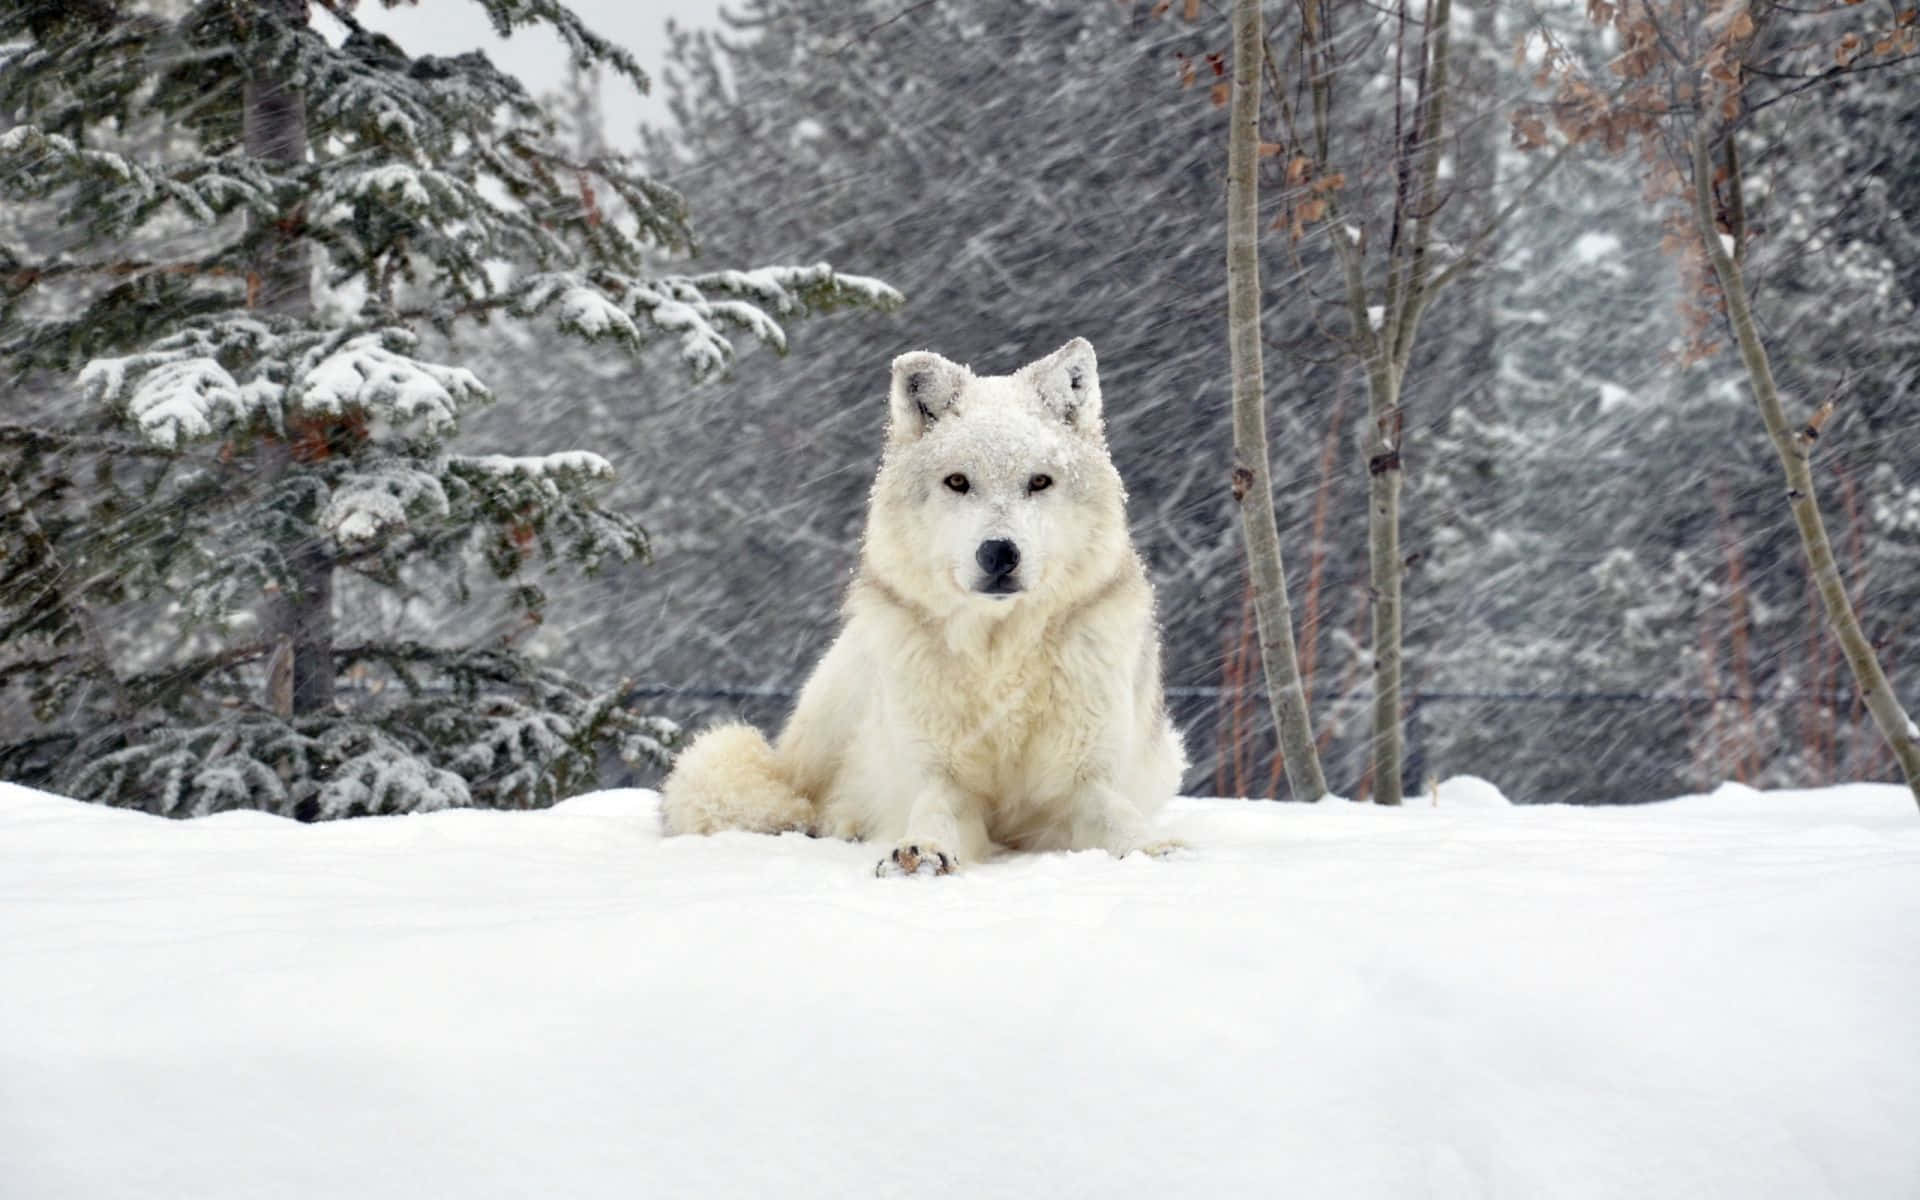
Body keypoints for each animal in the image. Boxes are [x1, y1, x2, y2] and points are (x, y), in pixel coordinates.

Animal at [659, 338, 1186, 876]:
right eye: (958, 482)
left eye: (1039, 482)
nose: (999, 552)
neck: (1000, 657)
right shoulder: (940, 776)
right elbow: (933, 812)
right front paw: (923, 851)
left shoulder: (1084, 778)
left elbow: (1118, 815)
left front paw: (1151, 849)